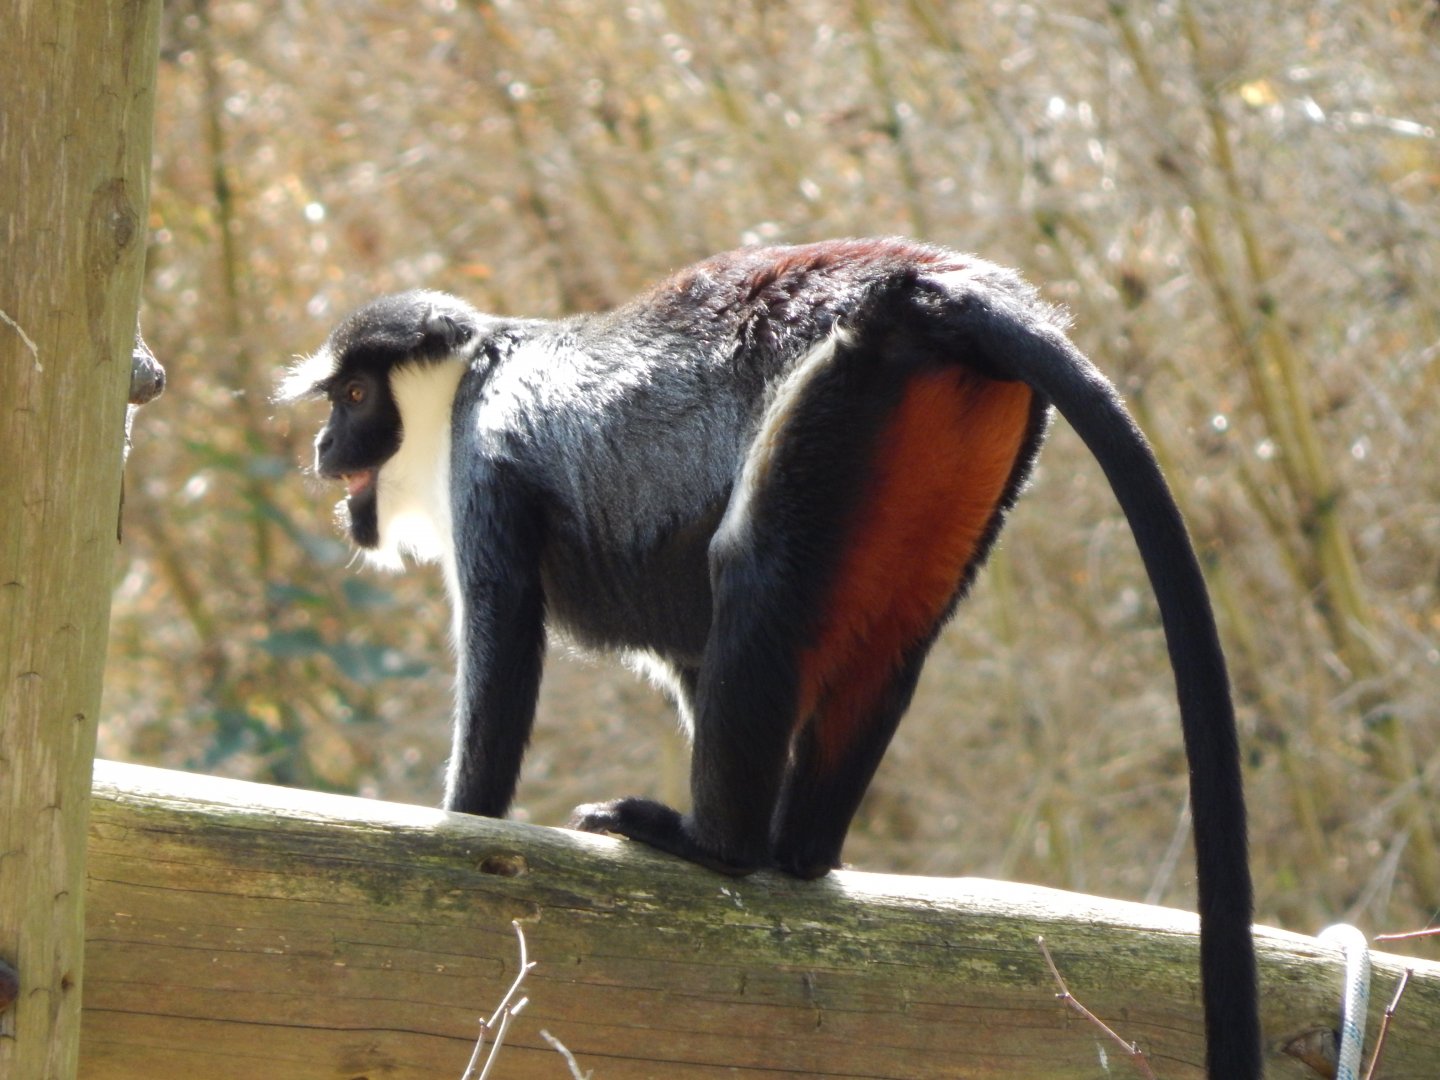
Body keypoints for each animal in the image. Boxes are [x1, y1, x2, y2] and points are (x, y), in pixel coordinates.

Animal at [280, 238, 1259, 1078]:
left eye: (355, 397)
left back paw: (717, 846)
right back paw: (802, 854)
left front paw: (469, 828)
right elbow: (692, 655)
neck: (473, 371)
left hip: (840, 388)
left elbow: (503, 646)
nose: (325, 448)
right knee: (891, 640)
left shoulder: (486, 464)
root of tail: (927, 290)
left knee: (749, 566)